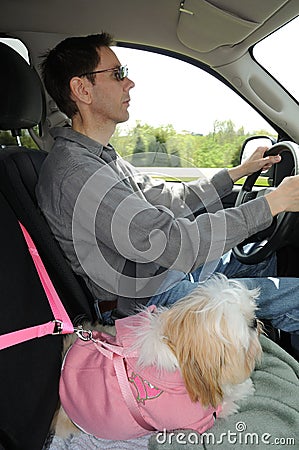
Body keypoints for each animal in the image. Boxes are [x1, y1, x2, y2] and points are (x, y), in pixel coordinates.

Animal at [52, 274, 264, 440]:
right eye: (246, 327)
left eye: (251, 314)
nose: (255, 322)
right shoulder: (191, 419)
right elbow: (219, 406)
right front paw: (237, 396)